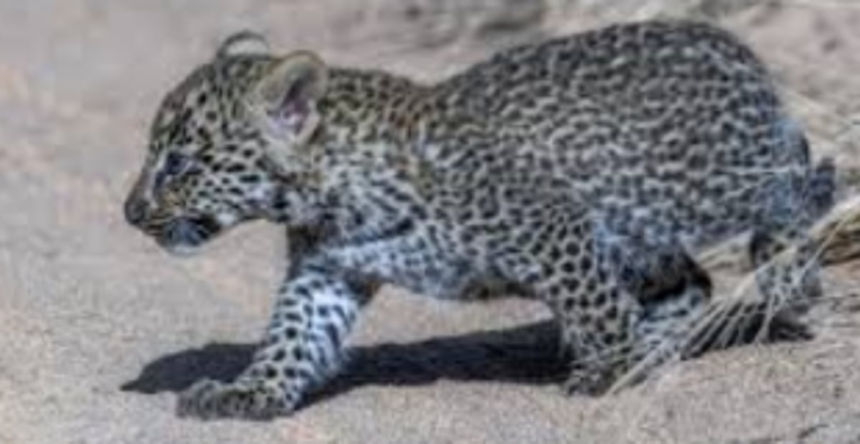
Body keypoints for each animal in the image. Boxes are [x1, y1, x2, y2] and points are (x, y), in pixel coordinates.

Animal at [123, 21, 835, 420]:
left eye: (178, 161)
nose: (130, 212)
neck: (327, 190)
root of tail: (731, 44)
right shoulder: (325, 273)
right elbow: (291, 338)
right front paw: (251, 393)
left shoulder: (554, 229)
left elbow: (596, 307)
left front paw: (607, 368)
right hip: (637, 227)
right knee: (690, 286)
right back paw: (658, 346)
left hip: (720, 181)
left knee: (796, 172)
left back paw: (789, 273)